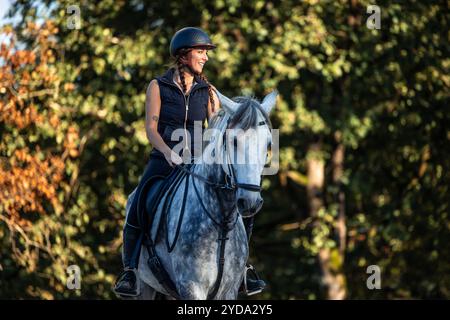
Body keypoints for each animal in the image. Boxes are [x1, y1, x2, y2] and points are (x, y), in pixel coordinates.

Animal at [124, 90, 278, 300]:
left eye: (268, 144)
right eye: (234, 141)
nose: (250, 202)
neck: (221, 222)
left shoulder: (229, 291)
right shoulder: (191, 287)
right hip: (145, 287)